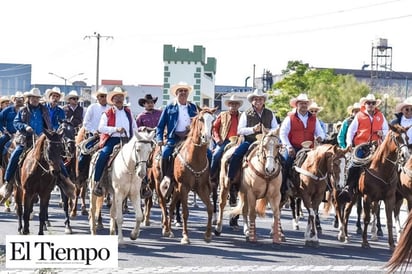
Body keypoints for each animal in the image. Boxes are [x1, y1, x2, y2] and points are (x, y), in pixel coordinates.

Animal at [151, 106, 216, 244]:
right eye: (201, 119)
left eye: (213, 120)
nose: (206, 137)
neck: (195, 157)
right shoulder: (184, 186)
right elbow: (185, 212)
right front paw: (185, 236)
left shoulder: (201, 187)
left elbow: (209, 208)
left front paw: (208, 235)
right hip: (160, 184)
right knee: (163, 204)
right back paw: (166, 229)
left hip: (175, 188)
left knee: (170, 207)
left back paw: (170, 230)